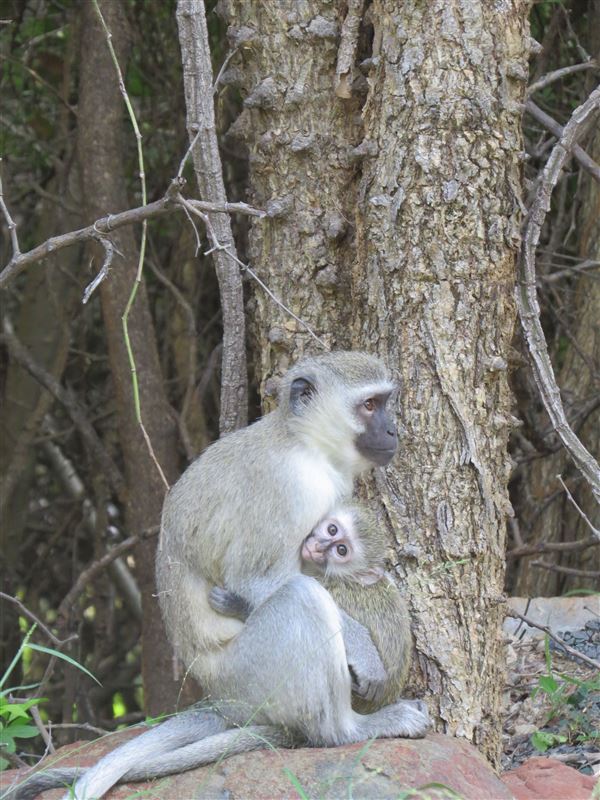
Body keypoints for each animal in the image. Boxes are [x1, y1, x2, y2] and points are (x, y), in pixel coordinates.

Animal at [208, 503, 413, 715]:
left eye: (341, 550)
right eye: (332, 530)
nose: (318, 546)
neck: (342, 578)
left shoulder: (325, 585)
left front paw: (237, 604)